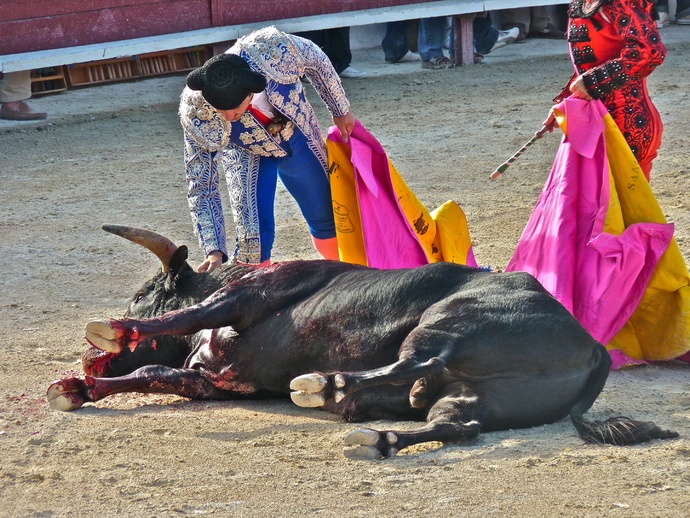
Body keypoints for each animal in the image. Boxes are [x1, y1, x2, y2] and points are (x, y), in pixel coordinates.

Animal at [46, 225, 678, 459]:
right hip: (481, 398)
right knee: (458, 424)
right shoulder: (208, 382)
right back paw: (378, 435)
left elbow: (188, 316)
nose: (87, 359)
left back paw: (326, 386)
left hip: (450, 322)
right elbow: (149, 374)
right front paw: (77, 386)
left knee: (417, 362)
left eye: (144, 293)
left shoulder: (246, 299)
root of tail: (592, 344)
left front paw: (112, 332)